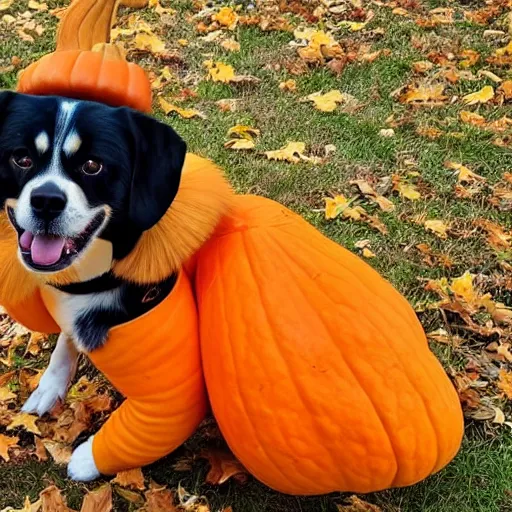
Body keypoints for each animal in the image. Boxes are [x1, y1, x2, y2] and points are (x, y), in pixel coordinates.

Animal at [0, 91, 189, 480]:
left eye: (92, 166)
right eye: (21, 158)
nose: (46, 200)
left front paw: (88, 458)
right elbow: (64, 339)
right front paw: (50, 384)